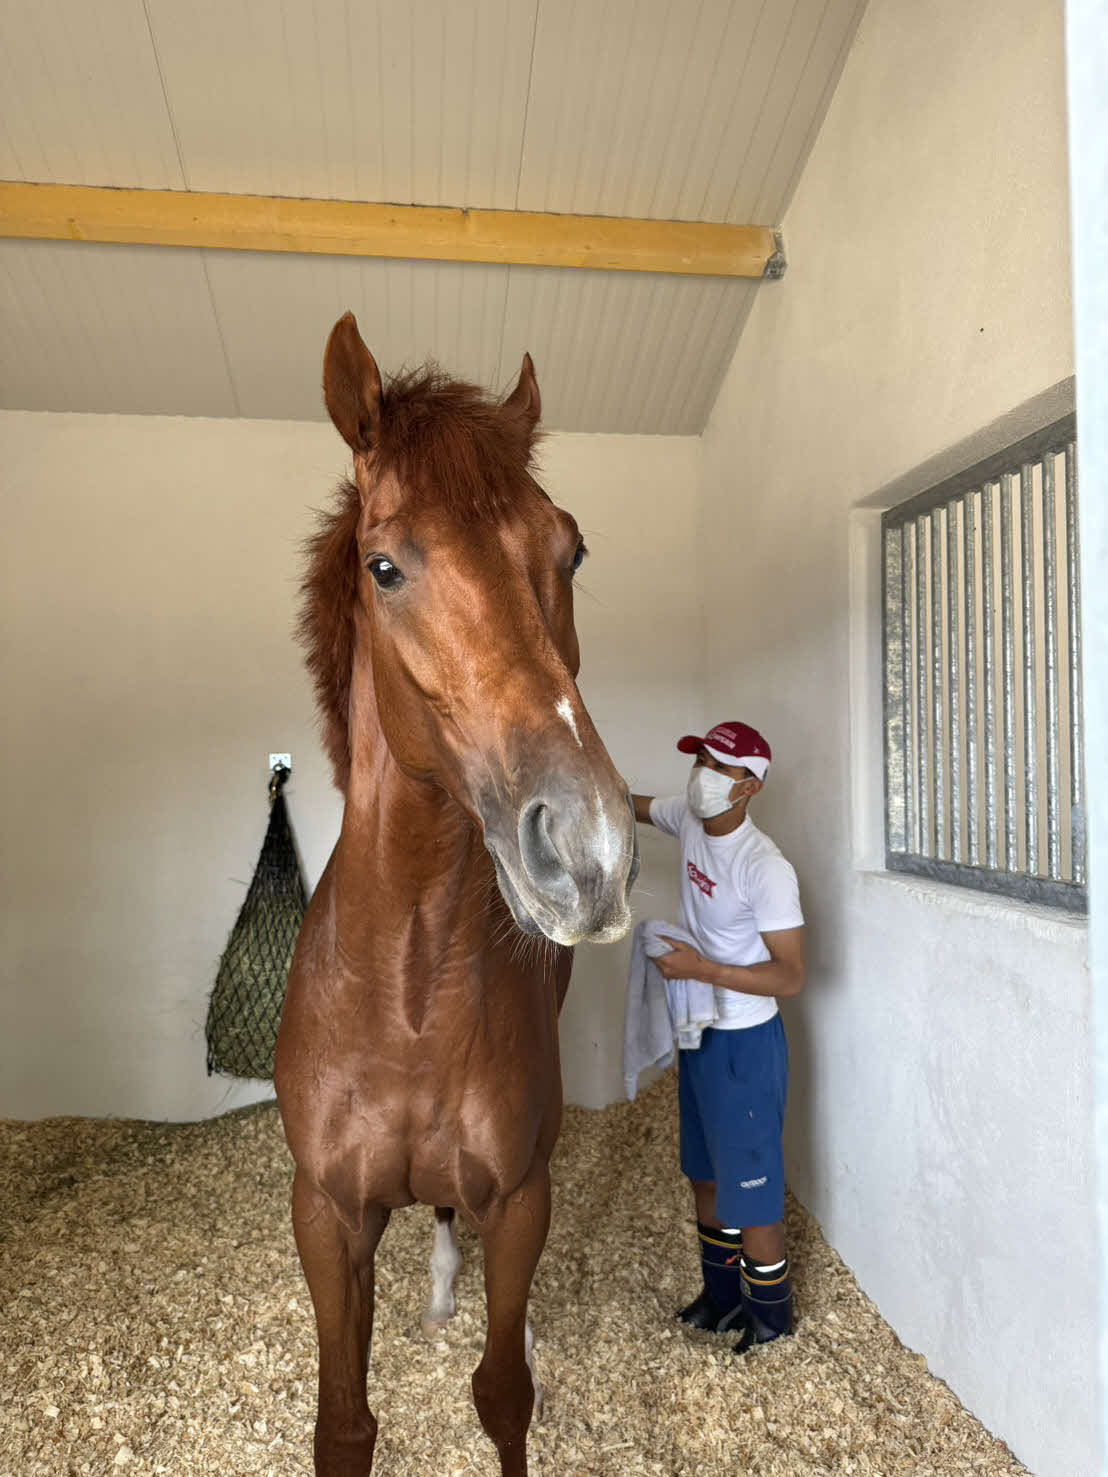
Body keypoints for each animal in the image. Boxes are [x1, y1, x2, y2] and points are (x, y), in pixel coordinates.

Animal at [274, 312, 640, 1477]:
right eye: (384, 565)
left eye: (570, 549)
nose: (588, 844)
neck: (407, 996)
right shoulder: (327, 1216)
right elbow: (345, 1424)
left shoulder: (522, 1200)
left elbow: (503, 1393)